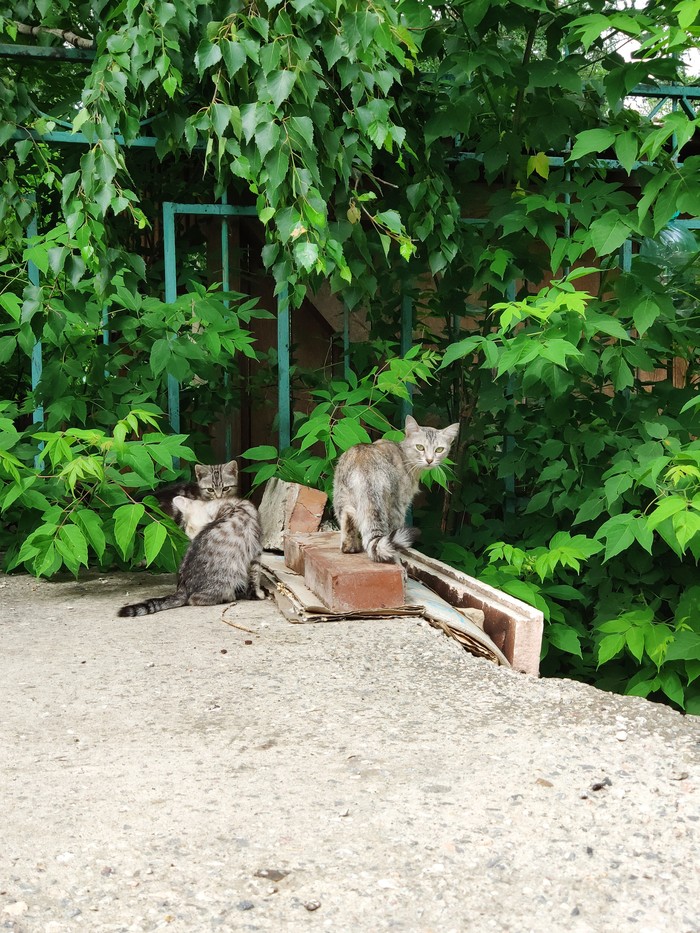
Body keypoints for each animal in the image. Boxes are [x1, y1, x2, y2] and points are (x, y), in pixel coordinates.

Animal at [119, 492, 264, 616]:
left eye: (199, 534)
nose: (194, 541)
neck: (231, 504)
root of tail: (182, 587)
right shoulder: (256, 552)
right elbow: (255, 577)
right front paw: (258, 594)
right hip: (226, 577)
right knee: (195, 599)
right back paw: (229, 597)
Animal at [332, 416, 460, 560]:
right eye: (420, 447)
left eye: (439, 450)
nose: (429, 460)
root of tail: (364, 464)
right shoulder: (402, 500)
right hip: (392, 503)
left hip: (341, 498)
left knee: (348, 522)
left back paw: (351, 548)